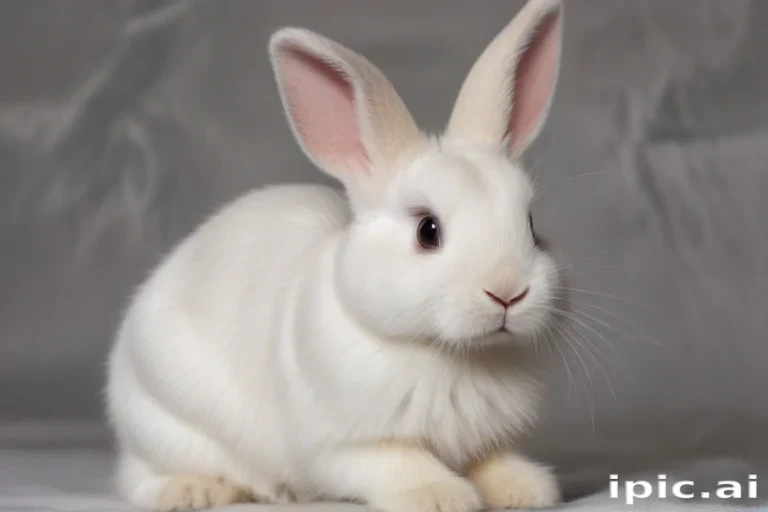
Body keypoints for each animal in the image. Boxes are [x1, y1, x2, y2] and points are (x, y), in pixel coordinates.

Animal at [105, 0, 567, 510]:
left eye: (530, 224)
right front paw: (442, 496)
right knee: (140, 478)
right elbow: (404, 463)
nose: (508, 292)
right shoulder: (349, 447)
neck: (452, 355)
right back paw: (195, 491)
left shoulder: (489, 439)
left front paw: (527, 489)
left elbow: (493, 461)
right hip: (167, 421)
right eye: (427, 231)